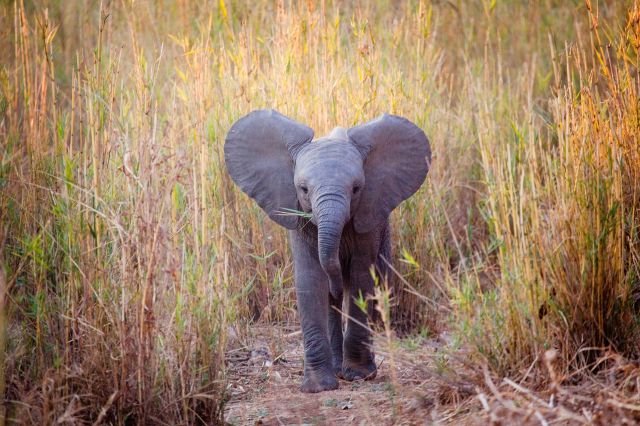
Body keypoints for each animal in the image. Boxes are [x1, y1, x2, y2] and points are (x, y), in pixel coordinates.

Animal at [224, 110, 431, 393]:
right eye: (303, 189)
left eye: (356, 189)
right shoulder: (298, 217)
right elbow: (310, 279)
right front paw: (318, 387)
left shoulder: (369, 215)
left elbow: (361, 277)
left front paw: (359, 375)